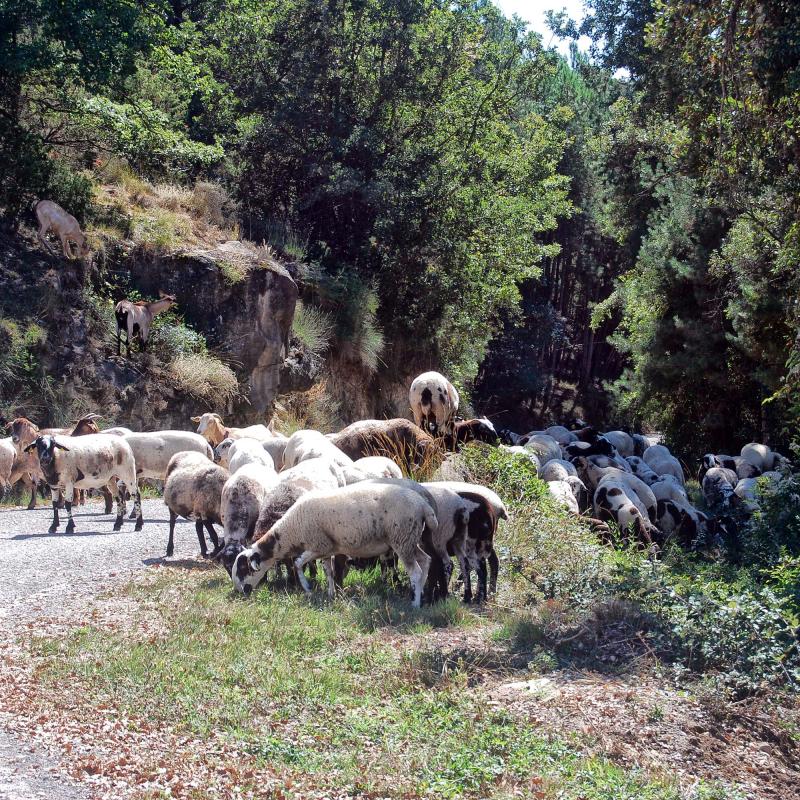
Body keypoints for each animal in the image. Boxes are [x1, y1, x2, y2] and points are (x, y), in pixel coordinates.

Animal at [231, 482, 438, 608]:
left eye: (243, 569)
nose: (240, 592)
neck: (292, 529)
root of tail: (423, 505)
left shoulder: (318, 545)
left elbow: (297, 564)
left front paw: (307, 588)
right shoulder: (327, 549)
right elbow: (329, 571)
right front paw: (331, 593)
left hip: (401, 538)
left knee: (415, 571)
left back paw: (415, 603)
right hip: (410, 539)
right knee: (426, 561)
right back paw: (422, 592)